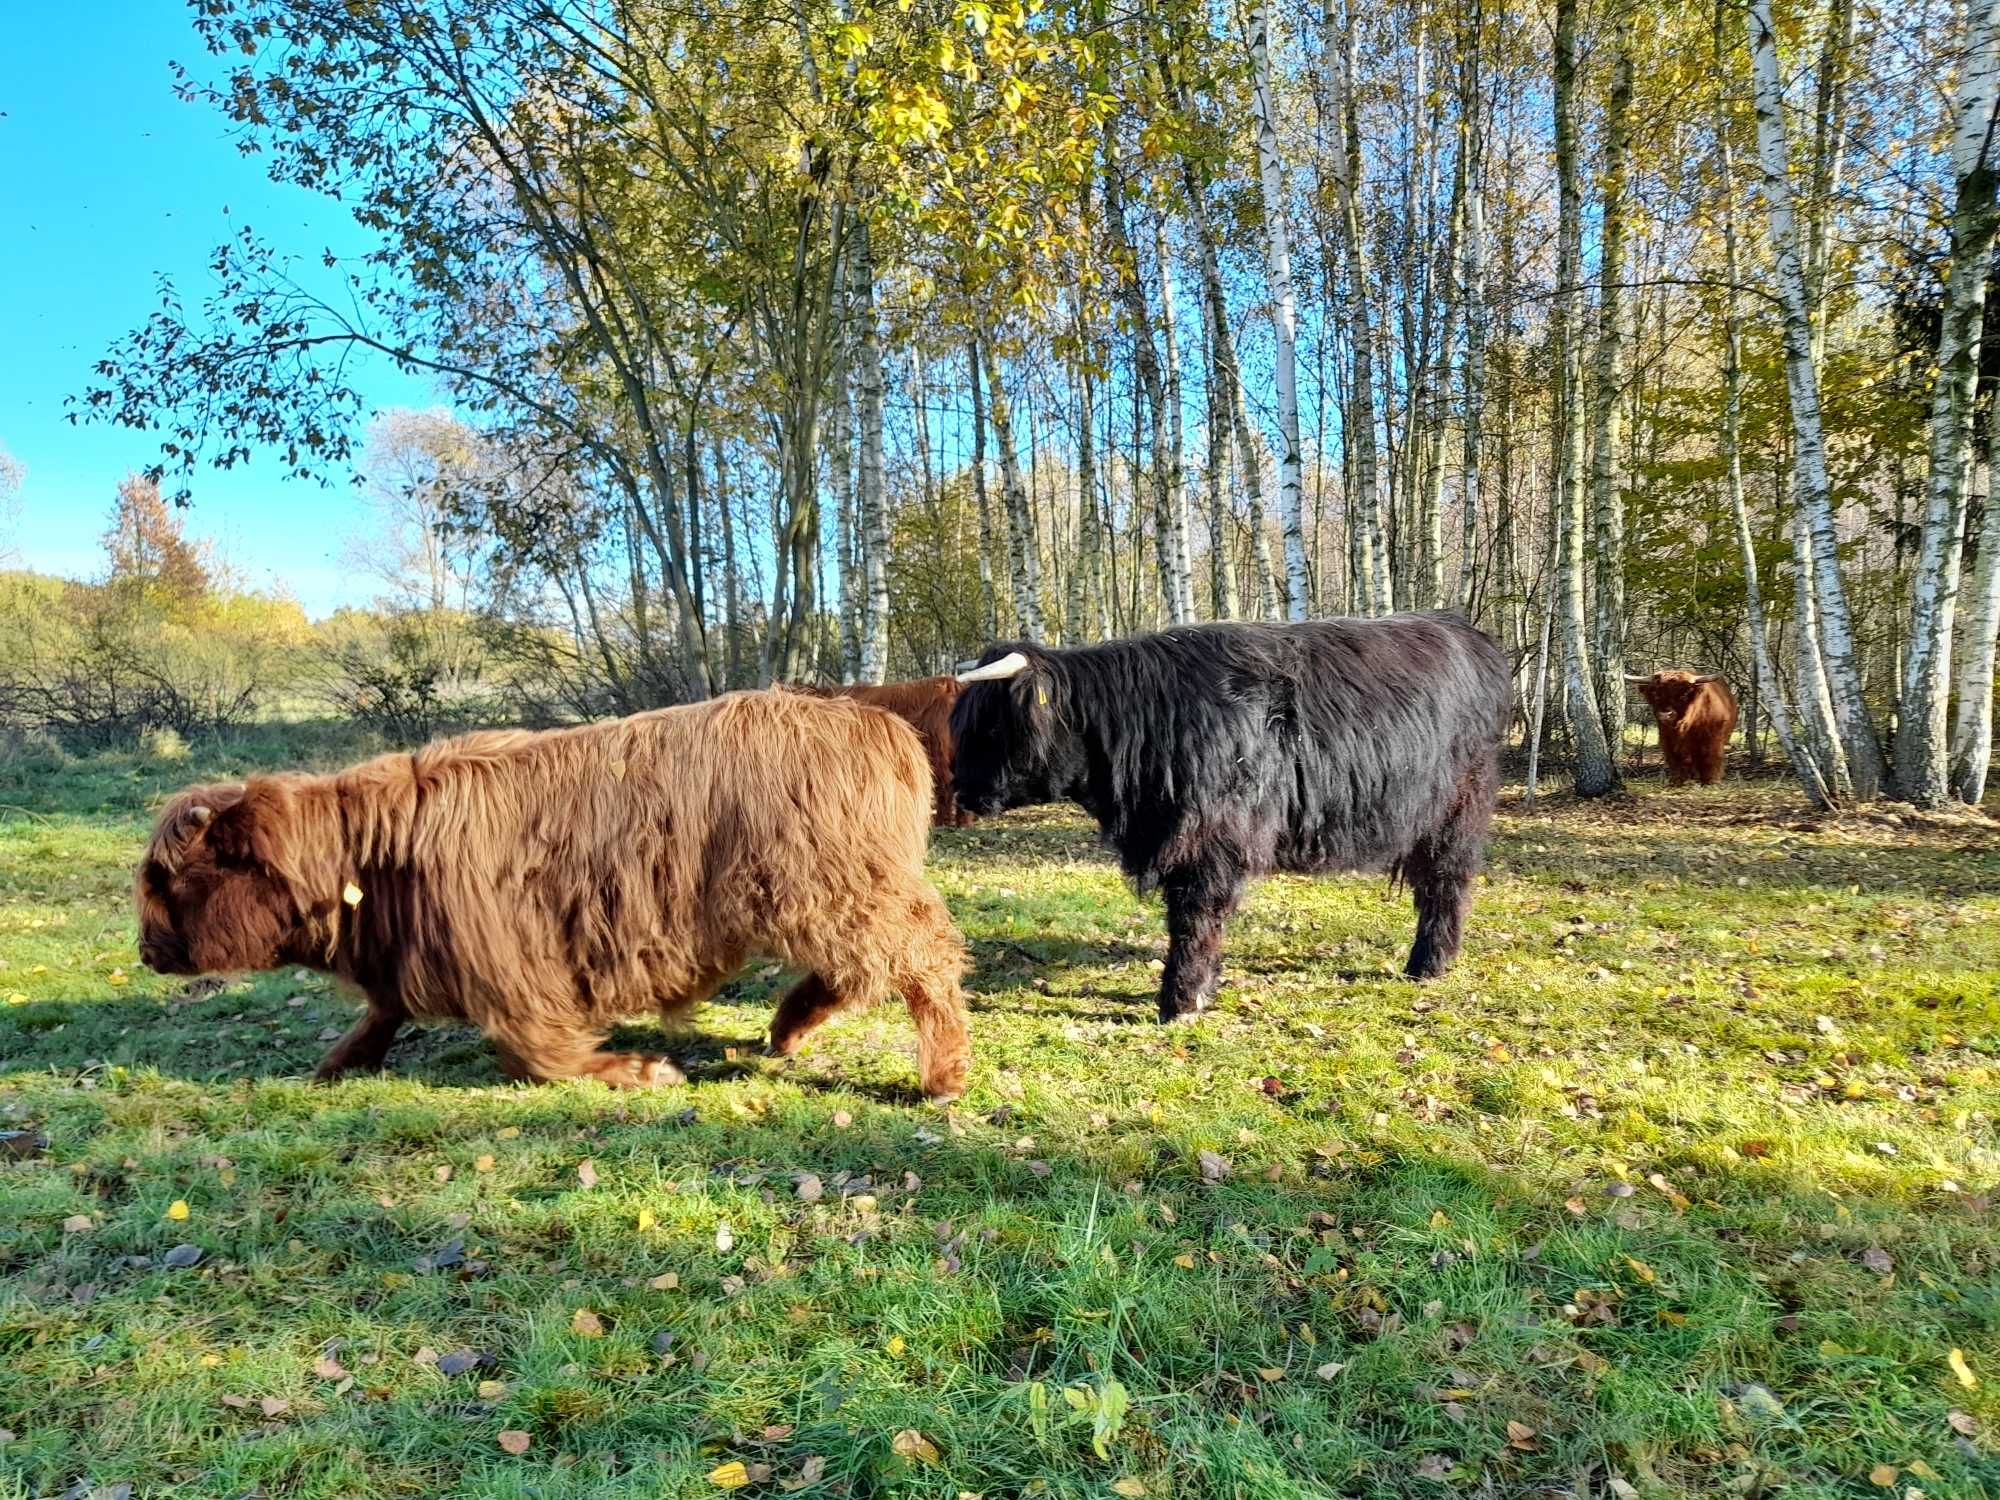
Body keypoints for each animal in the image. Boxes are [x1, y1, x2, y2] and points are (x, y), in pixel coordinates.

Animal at [131, 696, 968, 1104]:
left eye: (170, 880)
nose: (145, 951)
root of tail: (877, 721)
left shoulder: (513, 970)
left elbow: (537, 1054)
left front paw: (640, 1072)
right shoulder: (419, 957)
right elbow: (381, 1011)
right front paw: (338, 1063)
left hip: (833, 888)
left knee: (923, 960)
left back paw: (942, 1078)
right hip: (830, 891)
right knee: (861, 971)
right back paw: (788, 1029)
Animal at [948, 616, 1504, 1032]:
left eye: (992, 725)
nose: (957, 787)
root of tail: (1462, 629)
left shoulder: (1209, 843)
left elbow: (1194, 920)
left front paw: (1179, 1001)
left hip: (1455, 813)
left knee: (1446, 884)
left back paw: (1427, 966)